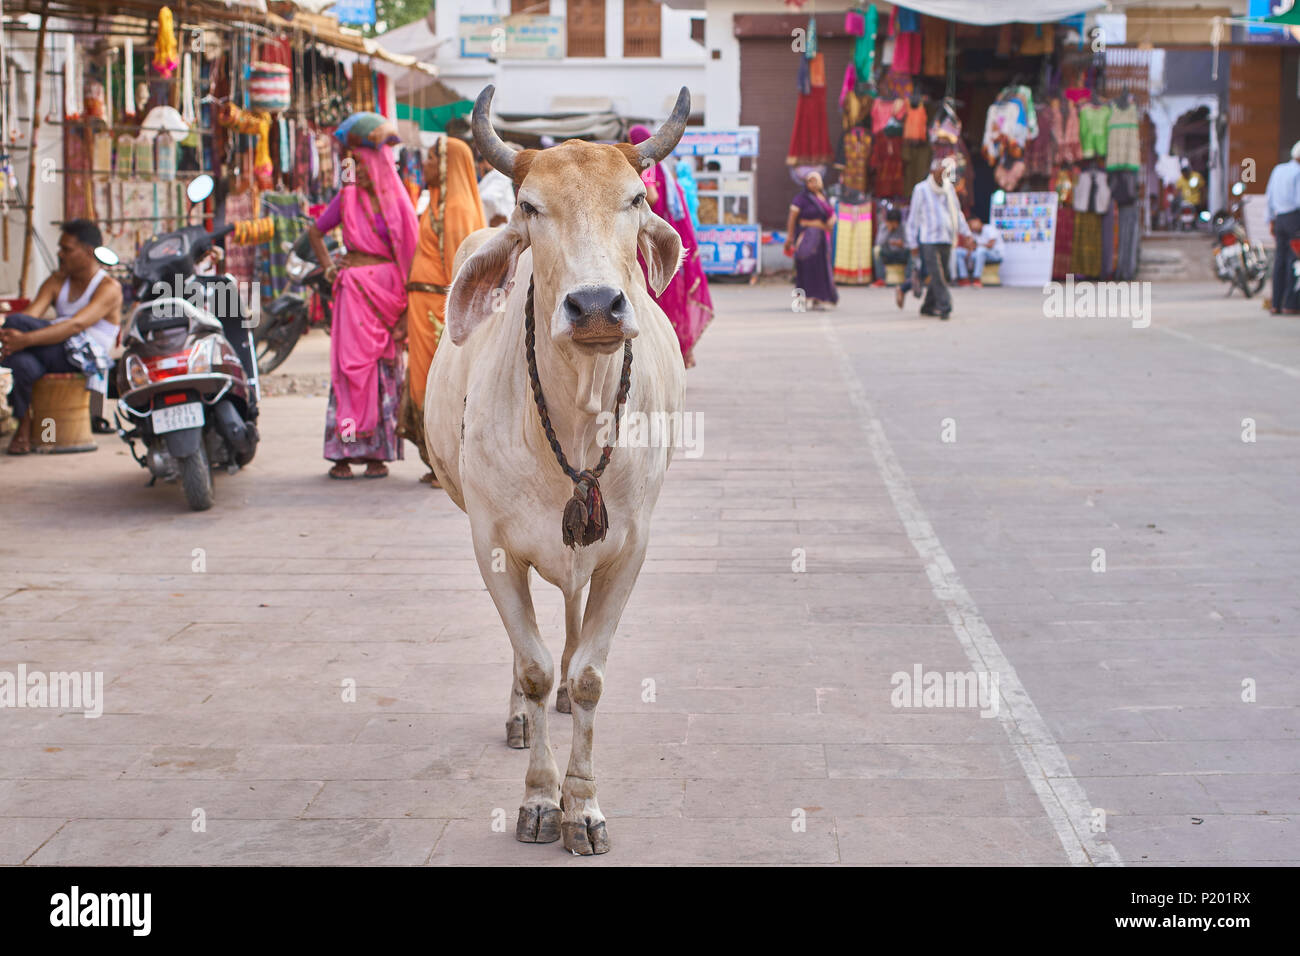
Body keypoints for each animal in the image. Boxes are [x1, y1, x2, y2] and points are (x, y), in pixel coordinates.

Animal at [423, 85, 691, 858]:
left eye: (635, 197)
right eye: (531, 206)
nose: (596, 305)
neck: (576, 412)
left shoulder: (628, 547)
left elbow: (592, 674)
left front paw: (584, 806)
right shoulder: (492, 546)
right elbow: (536, 665)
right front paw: (541, 800)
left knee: (570, 622)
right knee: (533, 654)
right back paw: (521, 713)